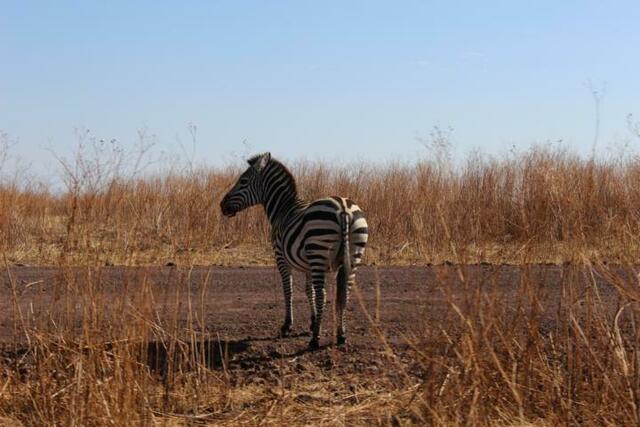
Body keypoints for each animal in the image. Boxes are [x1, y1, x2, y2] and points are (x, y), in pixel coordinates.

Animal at [220, 152, 368, 350]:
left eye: (243, 181)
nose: (222, 205)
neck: (283, 208)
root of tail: (343, 208)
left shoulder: (281, 257)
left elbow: (288, 289)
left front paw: (287, 326)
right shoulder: (308, 264)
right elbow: (308, 290)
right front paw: (313, 321)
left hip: (319, 251)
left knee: (323, 294)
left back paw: (315, 340)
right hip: (352, 255)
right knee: (345, 293)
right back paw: (341, 335)